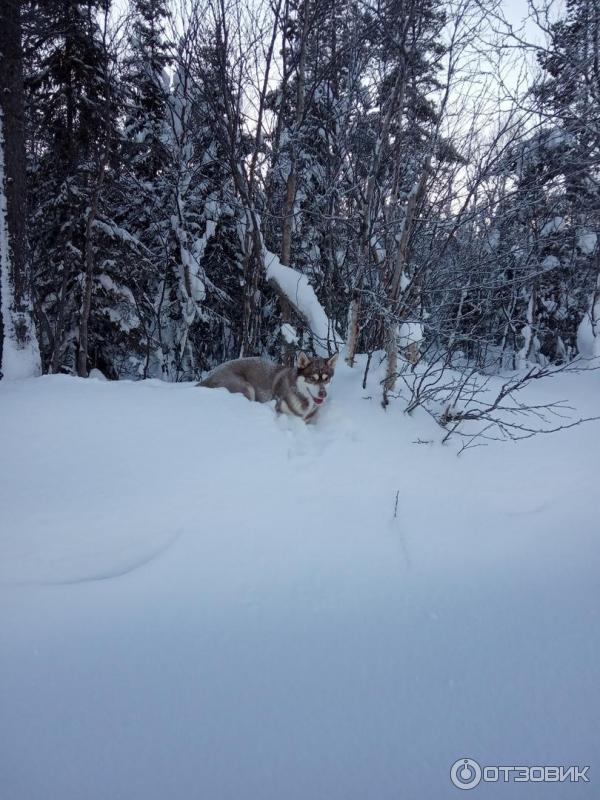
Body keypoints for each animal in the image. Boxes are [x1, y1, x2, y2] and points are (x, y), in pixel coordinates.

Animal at [200, 352, 338, 422]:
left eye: (326, 379)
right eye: (312, 379)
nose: (323, 394)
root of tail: (210, 375)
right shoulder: (280, 410)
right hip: (247, 388)